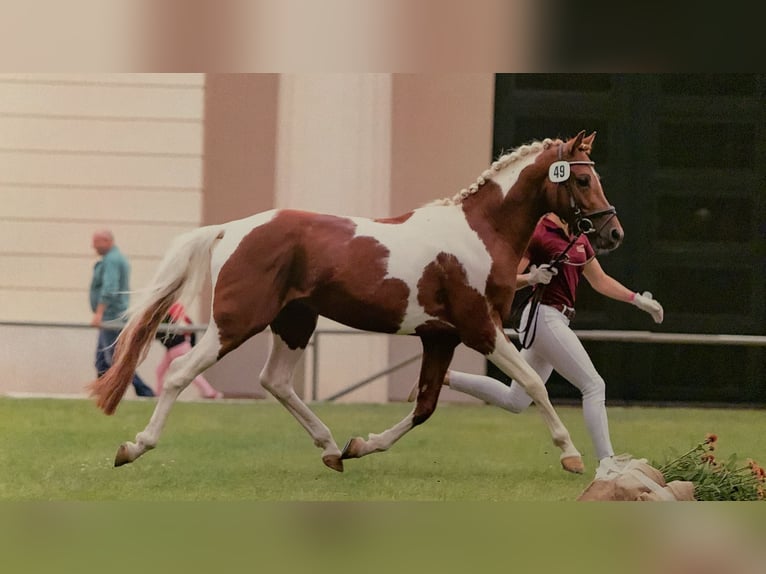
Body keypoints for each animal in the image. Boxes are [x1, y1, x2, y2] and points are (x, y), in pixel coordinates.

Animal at [89, 130, 623, 475]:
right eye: (581, 180)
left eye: (595, 177)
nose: (612, 232)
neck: (480, 232)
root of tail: (230, 230)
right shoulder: (480, 326)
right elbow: (533, 384)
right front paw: (571, 455)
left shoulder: (442, 336)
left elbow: (425, 405)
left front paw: (361, 445)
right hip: (236, 323)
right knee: (181, 375)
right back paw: (134, 447)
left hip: (295, 321)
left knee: (275, 381)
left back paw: (330, 448)